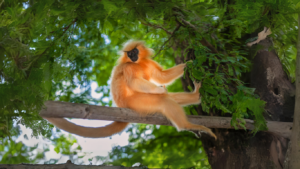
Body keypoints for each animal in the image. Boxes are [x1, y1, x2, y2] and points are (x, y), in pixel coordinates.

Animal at [43, 40, 217, 139]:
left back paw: (196, 96)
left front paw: (190, 63)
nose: (132, 56)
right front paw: (161, 90)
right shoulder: (128, 67)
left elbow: (162, 76)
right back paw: (186, 125)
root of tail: (121, 105)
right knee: (164, 100)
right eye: (130, 53)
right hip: (136, 102)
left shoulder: (147, 63)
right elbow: (134, 82)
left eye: (135, 51)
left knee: (172, 98)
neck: (138, 63)